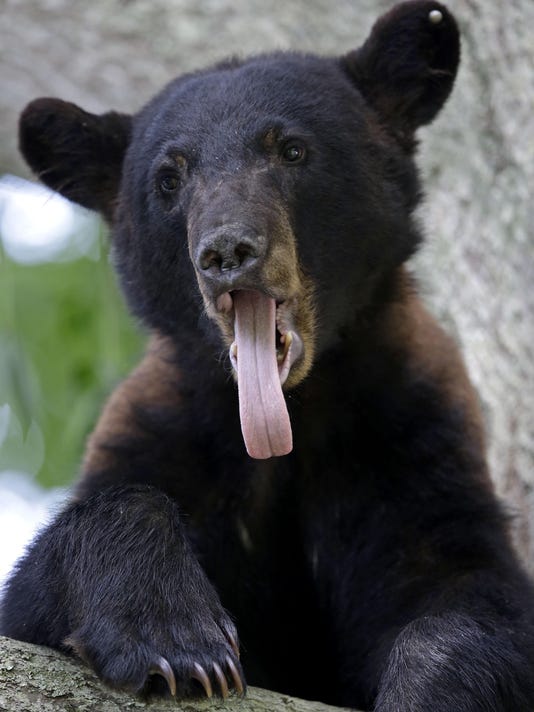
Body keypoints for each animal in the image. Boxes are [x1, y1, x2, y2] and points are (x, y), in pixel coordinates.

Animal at [2, 1, 534, 710]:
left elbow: (466, 594)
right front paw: (177, 640)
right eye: (168, 179)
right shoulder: (165, 432)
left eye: (293, 149)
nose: (227, 250)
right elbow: (38, 591)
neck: (285, 428)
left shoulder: (412, 443)